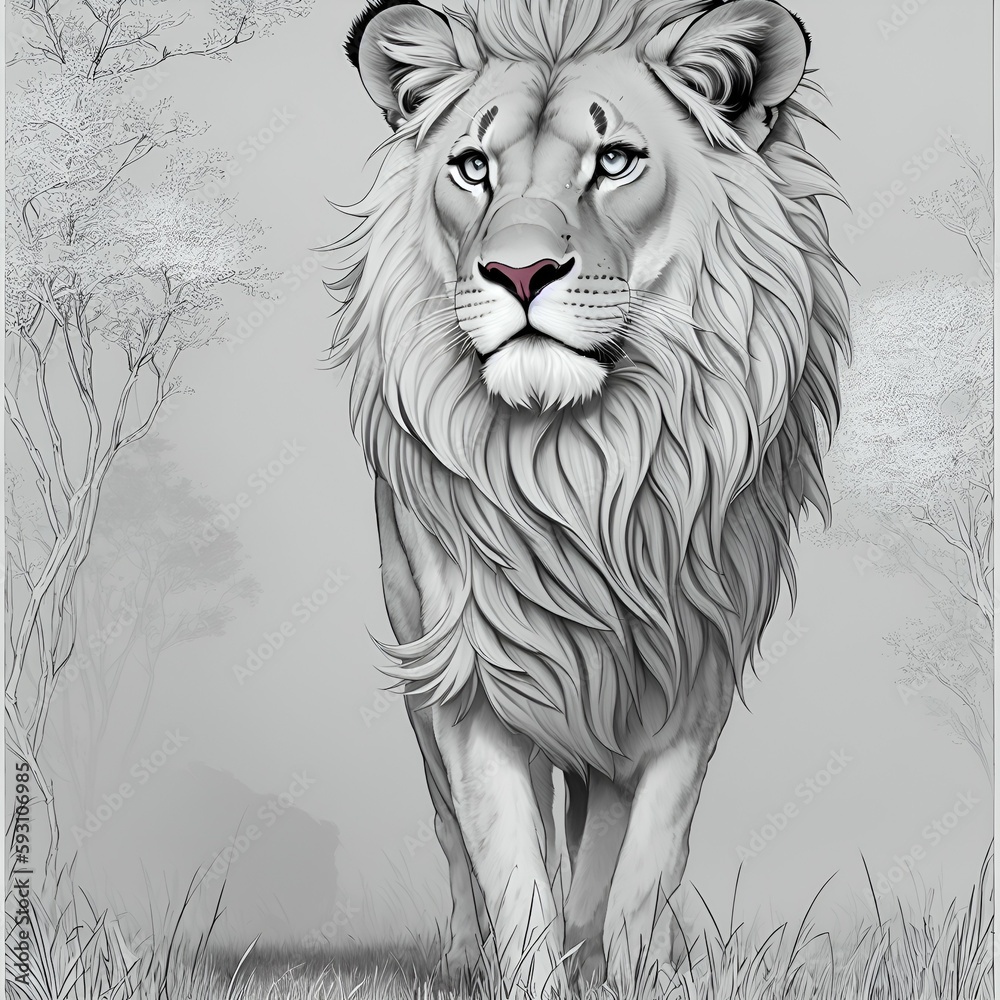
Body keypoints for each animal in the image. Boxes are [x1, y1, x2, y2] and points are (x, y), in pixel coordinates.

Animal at [330, 0, 850, 995]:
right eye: (473, 167)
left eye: (614, 161)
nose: (519, 274)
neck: (576, 463)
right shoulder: (471, 686)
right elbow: (509, 864)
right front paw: (534, 970)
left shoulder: (688, 678)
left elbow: (636, 864)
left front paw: (630, 966)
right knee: (460, 840)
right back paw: (469, 957)